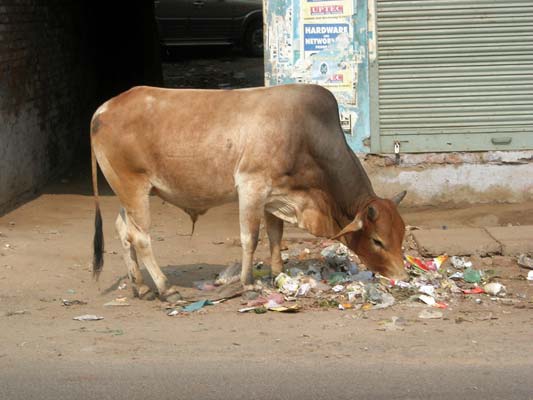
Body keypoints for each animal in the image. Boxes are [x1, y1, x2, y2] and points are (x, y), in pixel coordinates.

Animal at [90, 83, 408, 300]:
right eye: (378, 241)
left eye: (401, 235)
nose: (402, 274)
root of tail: (104, 109)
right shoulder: (251, 186)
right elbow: (250, 238)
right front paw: (248, 282)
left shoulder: (275, 196)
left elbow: (275, 237)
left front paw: (278, 274)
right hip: (134, 187)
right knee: (141, 237)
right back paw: (165, 288)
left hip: (127, 193)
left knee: (124, 230)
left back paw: (140, 286)